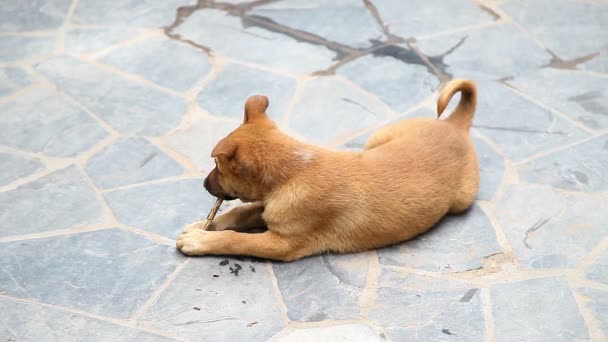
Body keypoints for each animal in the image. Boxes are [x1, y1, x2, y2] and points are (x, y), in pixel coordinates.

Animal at [176, 80, 480, 262]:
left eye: (217, 167)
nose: (204, 184)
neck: (294, 171)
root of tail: (454, 124)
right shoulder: (267, 207)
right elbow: (238, 213)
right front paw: (202, 226)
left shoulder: (284, 243)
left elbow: (237, 240)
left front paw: (200, 240)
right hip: (377, 138)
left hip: (463, 200)